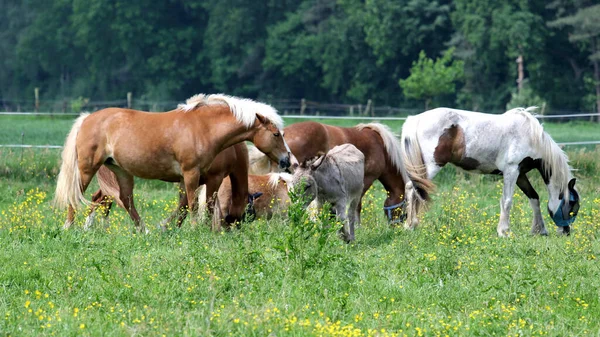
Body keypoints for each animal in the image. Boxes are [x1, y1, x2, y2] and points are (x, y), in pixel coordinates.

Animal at [82, 140, 248, 230]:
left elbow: (184, 206)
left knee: (100, 199)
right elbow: (198, 206)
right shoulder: (212, 179)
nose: (234, 231)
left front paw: (171, 228)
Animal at [400, 106, 580, 235]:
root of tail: (416, 119)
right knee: (413, 188)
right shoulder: (511, 171)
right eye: (572, 206)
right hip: (431, 166)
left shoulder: (520, 174)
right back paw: (410, 226)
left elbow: (534, 198)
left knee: (412, 188)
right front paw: (504, 232)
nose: (566, 232)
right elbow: (507, 201)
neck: (531, 137)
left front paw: (539, 230)